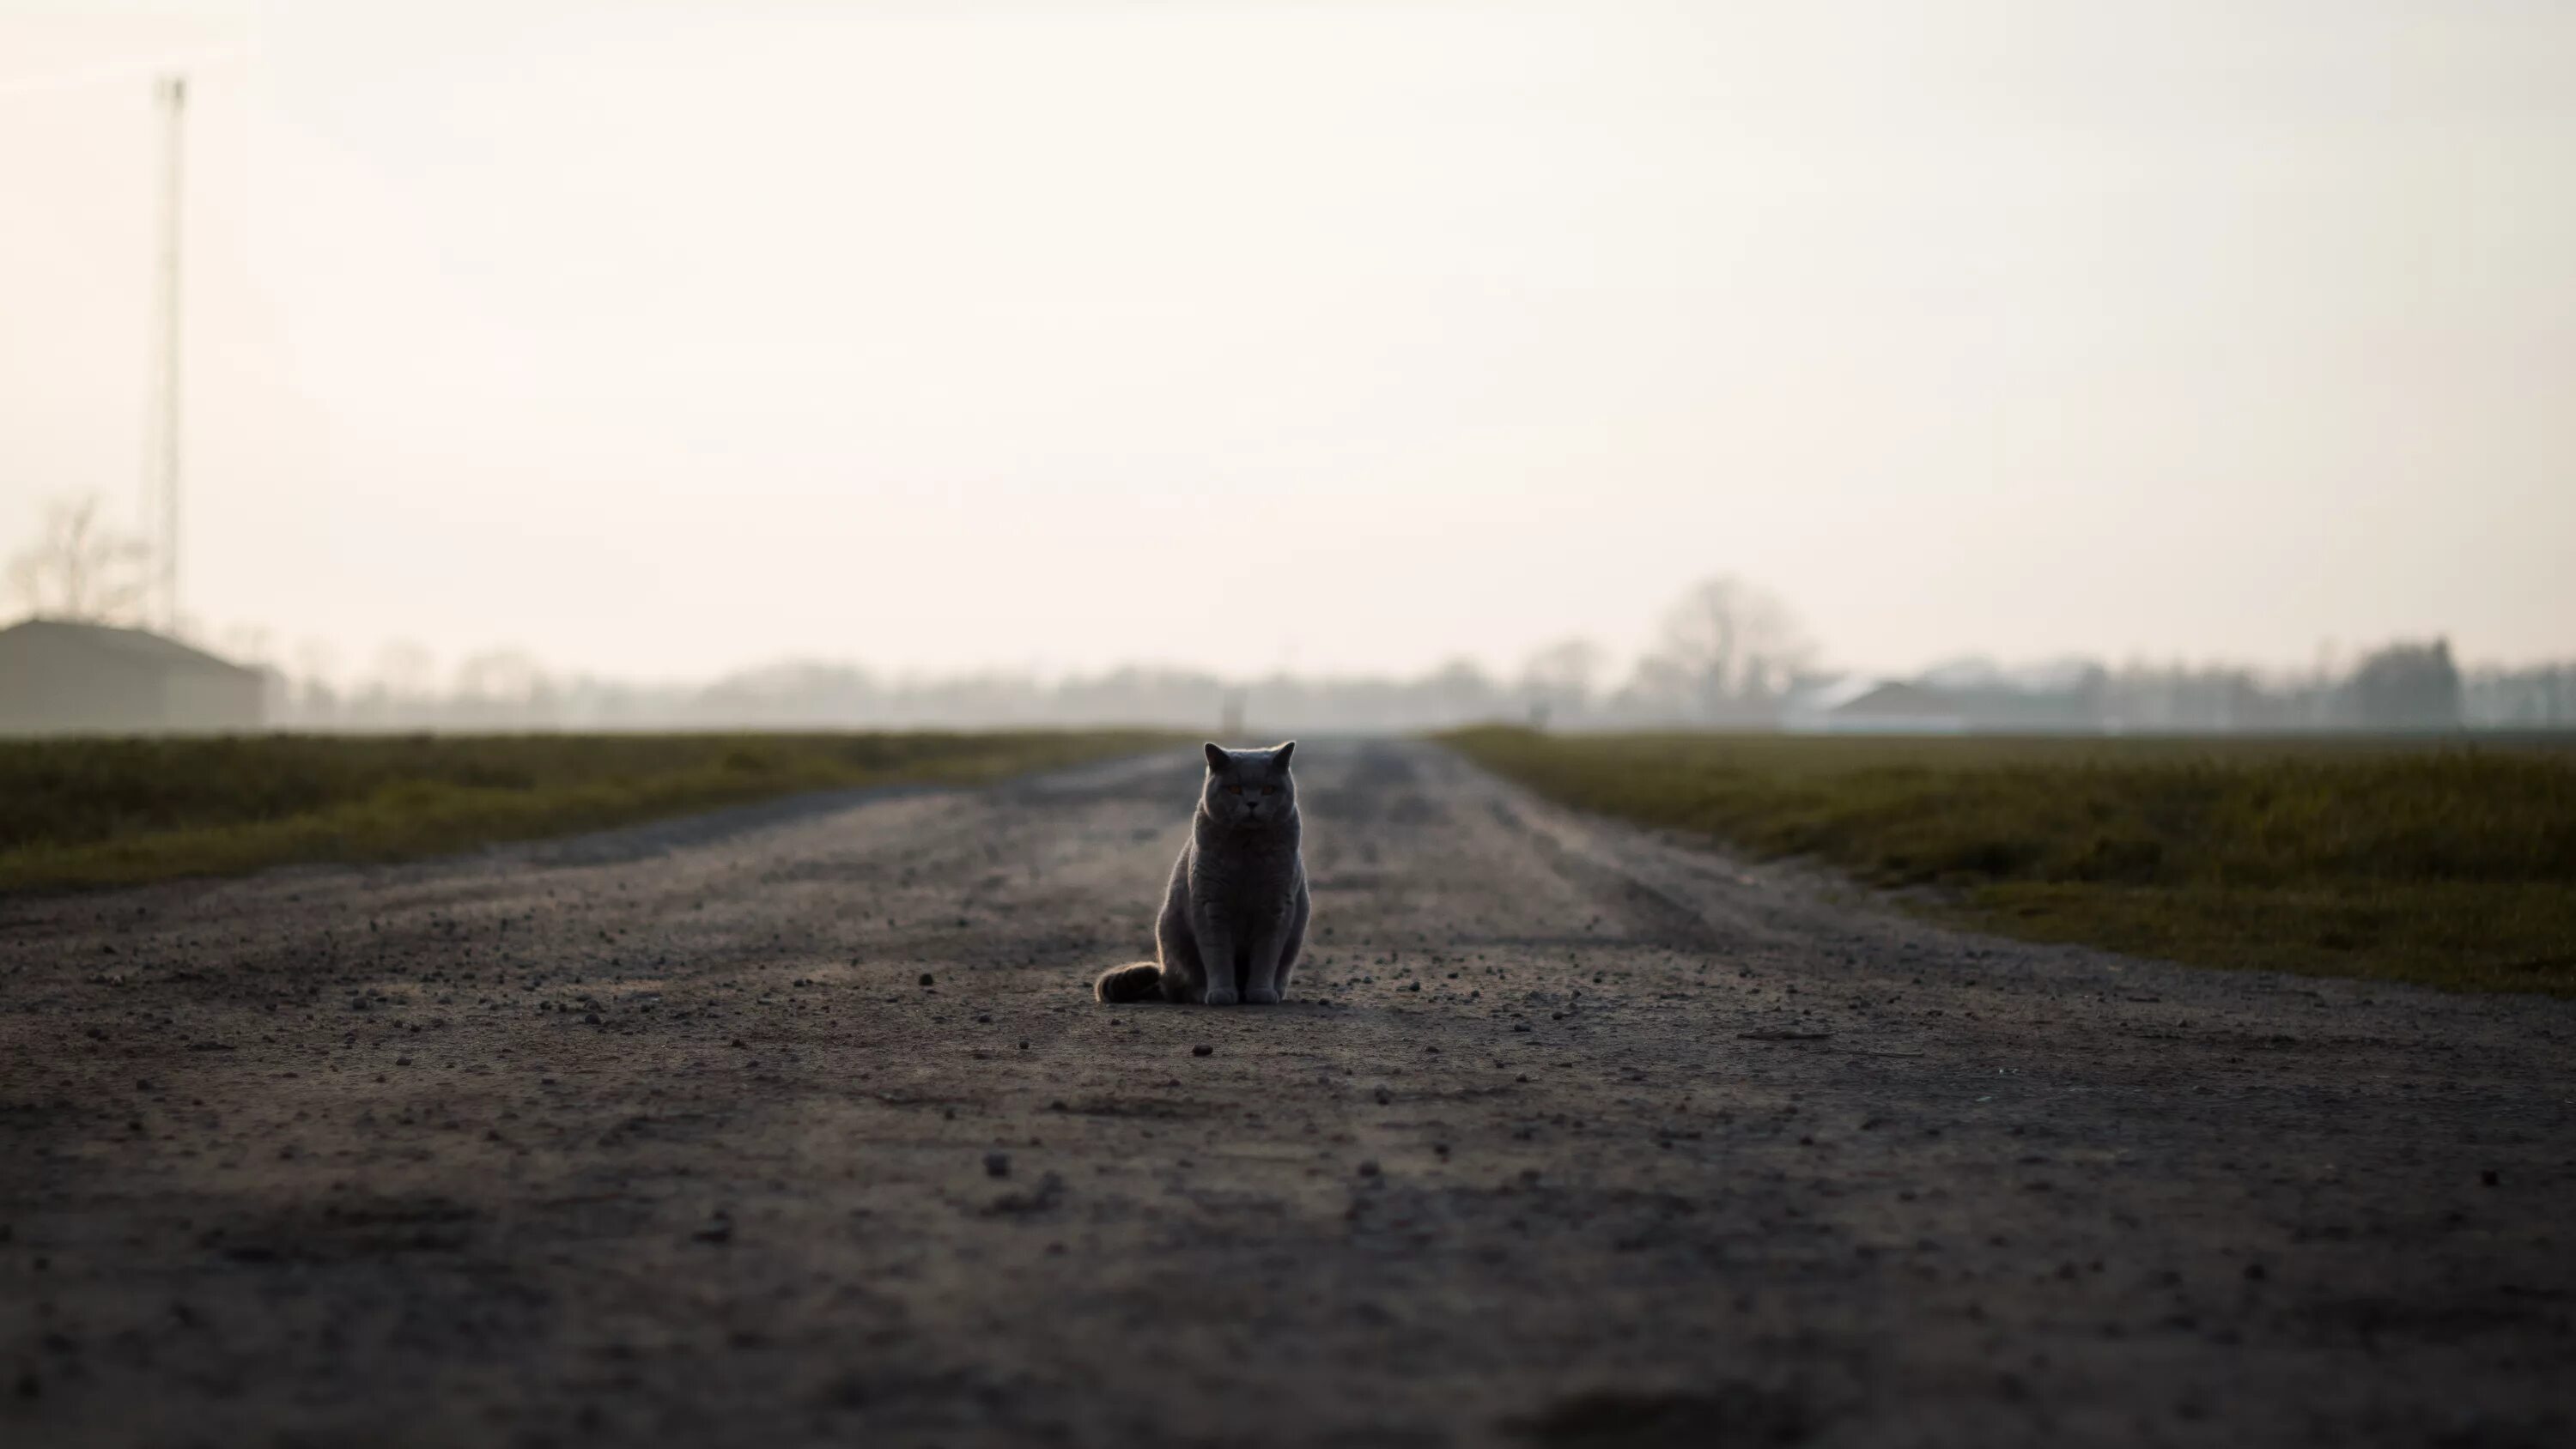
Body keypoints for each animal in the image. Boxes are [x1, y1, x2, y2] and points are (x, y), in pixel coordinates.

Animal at [1097, 741, 1319, 1003]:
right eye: (1234, 788)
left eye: (1268, 789)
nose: (1252, 803)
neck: (1247, 856)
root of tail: (1163, 977)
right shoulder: (1211, 904)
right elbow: (1217, 955)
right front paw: (1221, 993)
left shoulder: (1276, 906)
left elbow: (1266, 955)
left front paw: (1261, 992)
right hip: (1173, 936)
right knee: (1183, 986)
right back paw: (1204, 992)